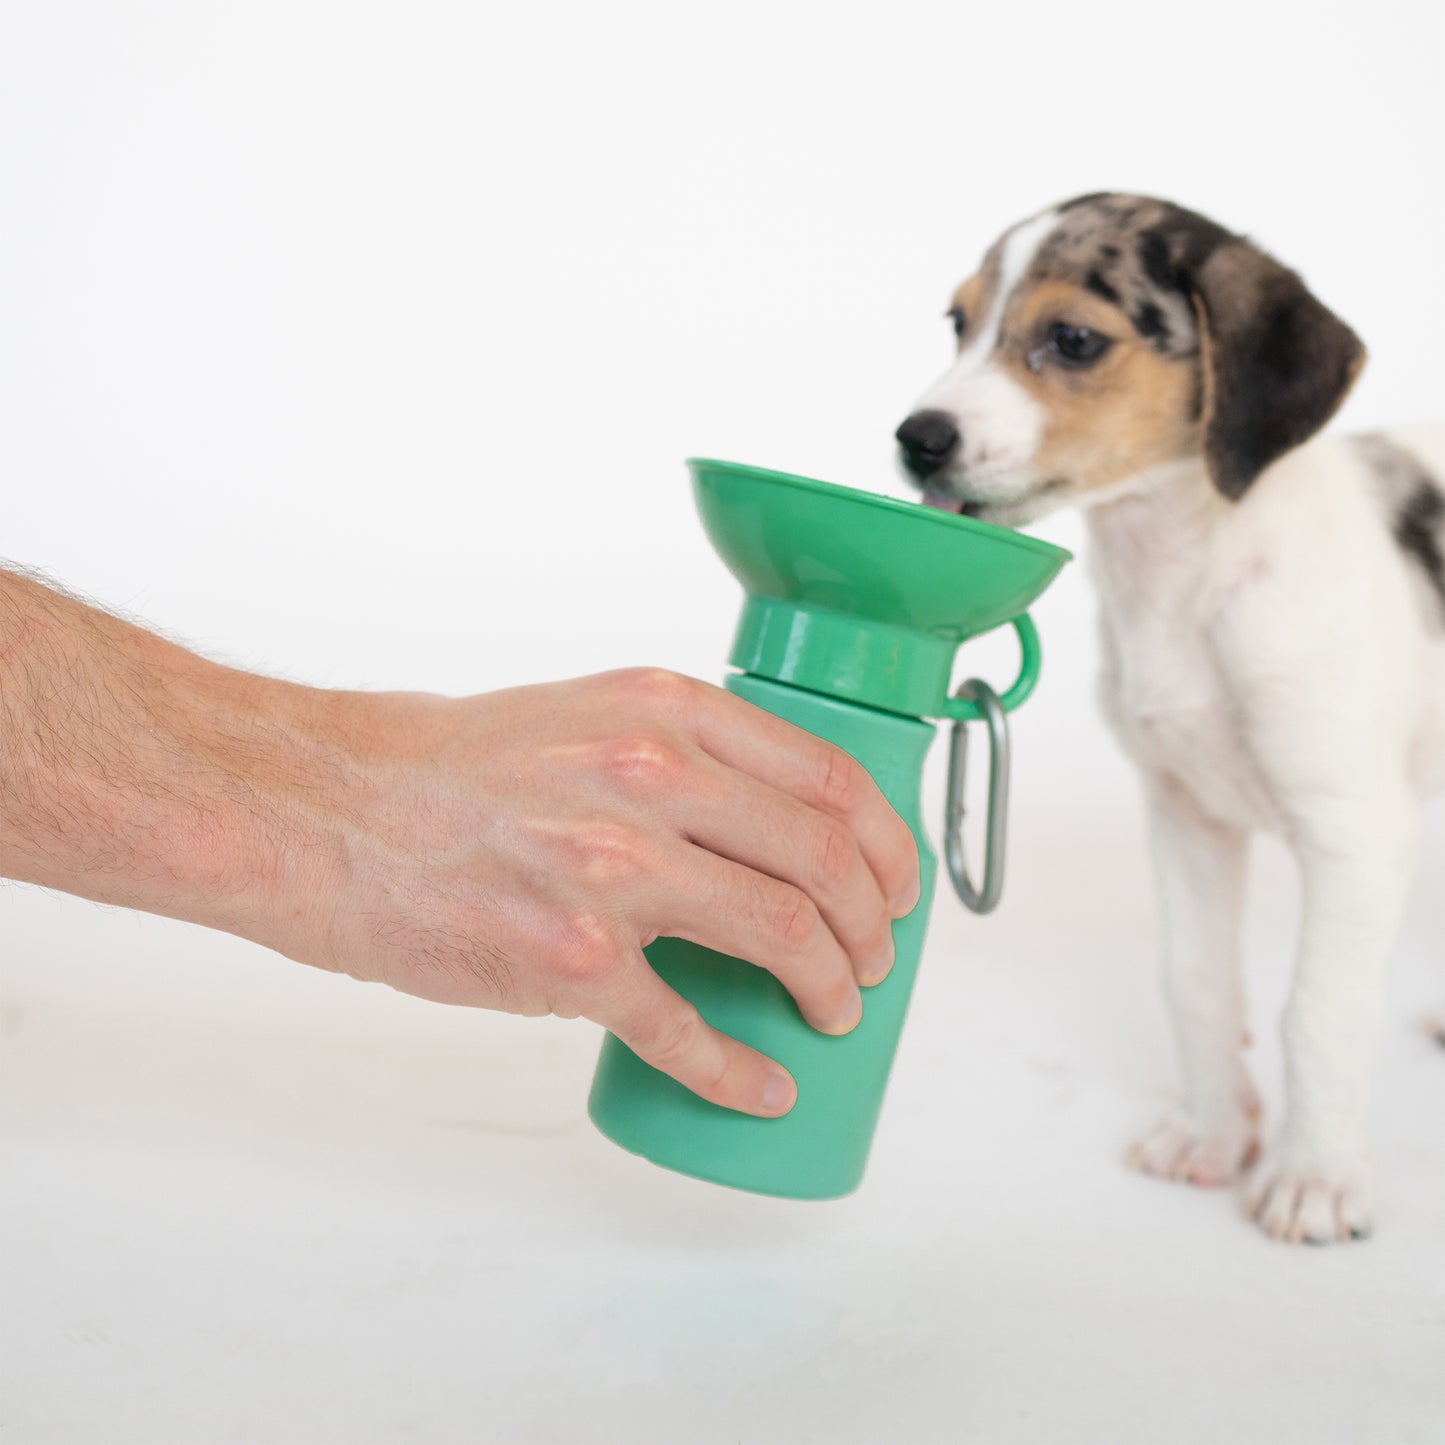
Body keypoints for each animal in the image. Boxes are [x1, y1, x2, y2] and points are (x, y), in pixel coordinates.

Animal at [895, 197, 1439, 1248]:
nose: (915, 438)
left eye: (1072, 339)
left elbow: (1318, 1011)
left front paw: (1314, 1175)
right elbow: (1193, 982)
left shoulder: (1351, 836)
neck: (1187, 577)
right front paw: (1214, 1130)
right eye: (957, 322)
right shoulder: (1186, 817)